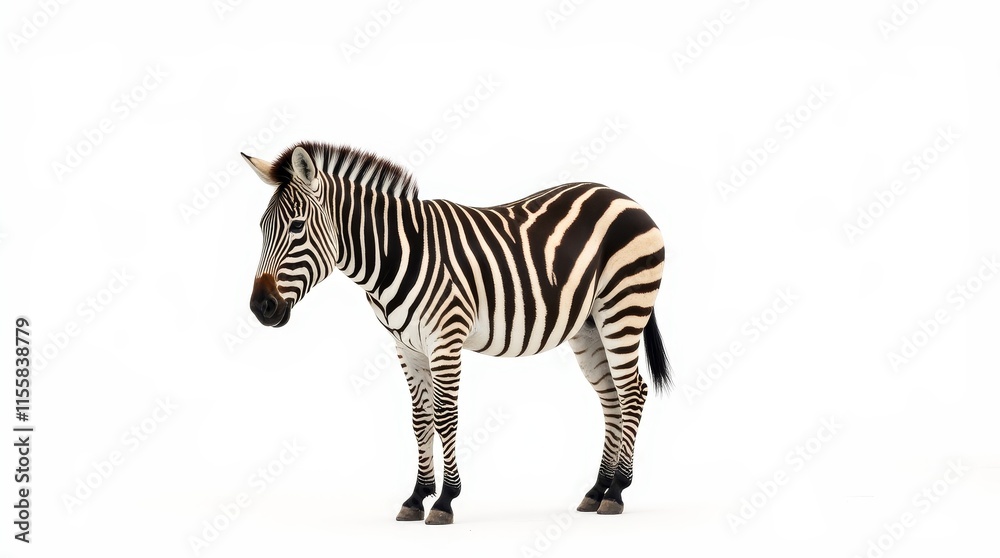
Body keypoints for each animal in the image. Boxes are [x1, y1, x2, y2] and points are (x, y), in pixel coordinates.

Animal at [244, 142, 670, 525]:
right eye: (261, 228)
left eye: (297, 227)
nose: (260, 307)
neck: (396, 255)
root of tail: (624, 197)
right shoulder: (407, 347)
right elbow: (420, 419)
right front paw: (417, 496)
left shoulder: (445, 339)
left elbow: (446, 416)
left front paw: (445, 500)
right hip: (588, 326)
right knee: (612, 399)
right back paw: (597, 490)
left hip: (622, 308)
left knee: (633, 392)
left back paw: (617, 491)